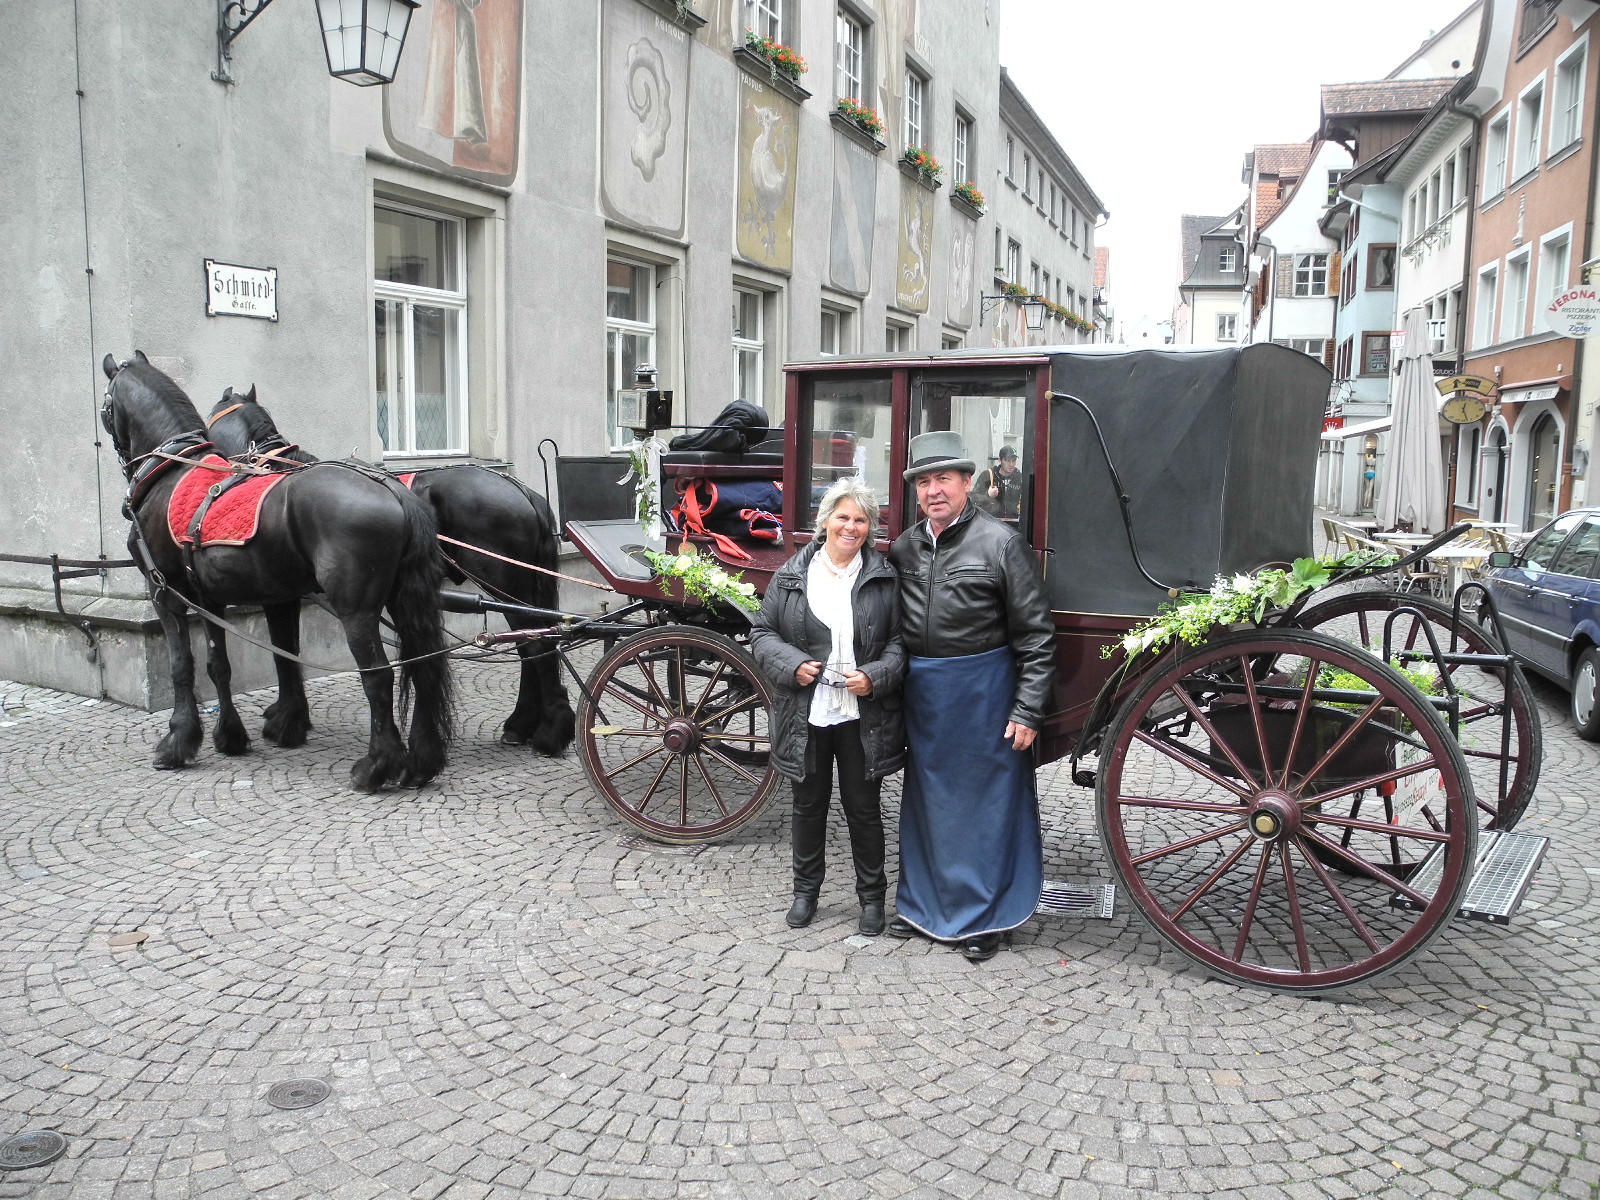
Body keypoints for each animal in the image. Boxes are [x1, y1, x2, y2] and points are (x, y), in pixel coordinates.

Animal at [101, 352, 454, 791]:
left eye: (106, 404)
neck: (170, 472)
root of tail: (392, 489)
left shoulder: (165, 593)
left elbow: (182, 666)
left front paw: (178, 742)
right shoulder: (219, 599)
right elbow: (227, 665)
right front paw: (234, 735)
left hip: (357, 611)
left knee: (378, 676)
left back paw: (376, 765)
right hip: (403, 602)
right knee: (422, 667)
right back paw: (422, 761)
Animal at [205, 386, 576, 756]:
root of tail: (520, 490)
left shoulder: (279, 595)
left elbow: (283, 653)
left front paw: (285, 718)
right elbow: (288, 651)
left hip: (502, 584)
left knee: (534, 647)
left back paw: (547, 730)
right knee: (536, 642)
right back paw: (526, 723)